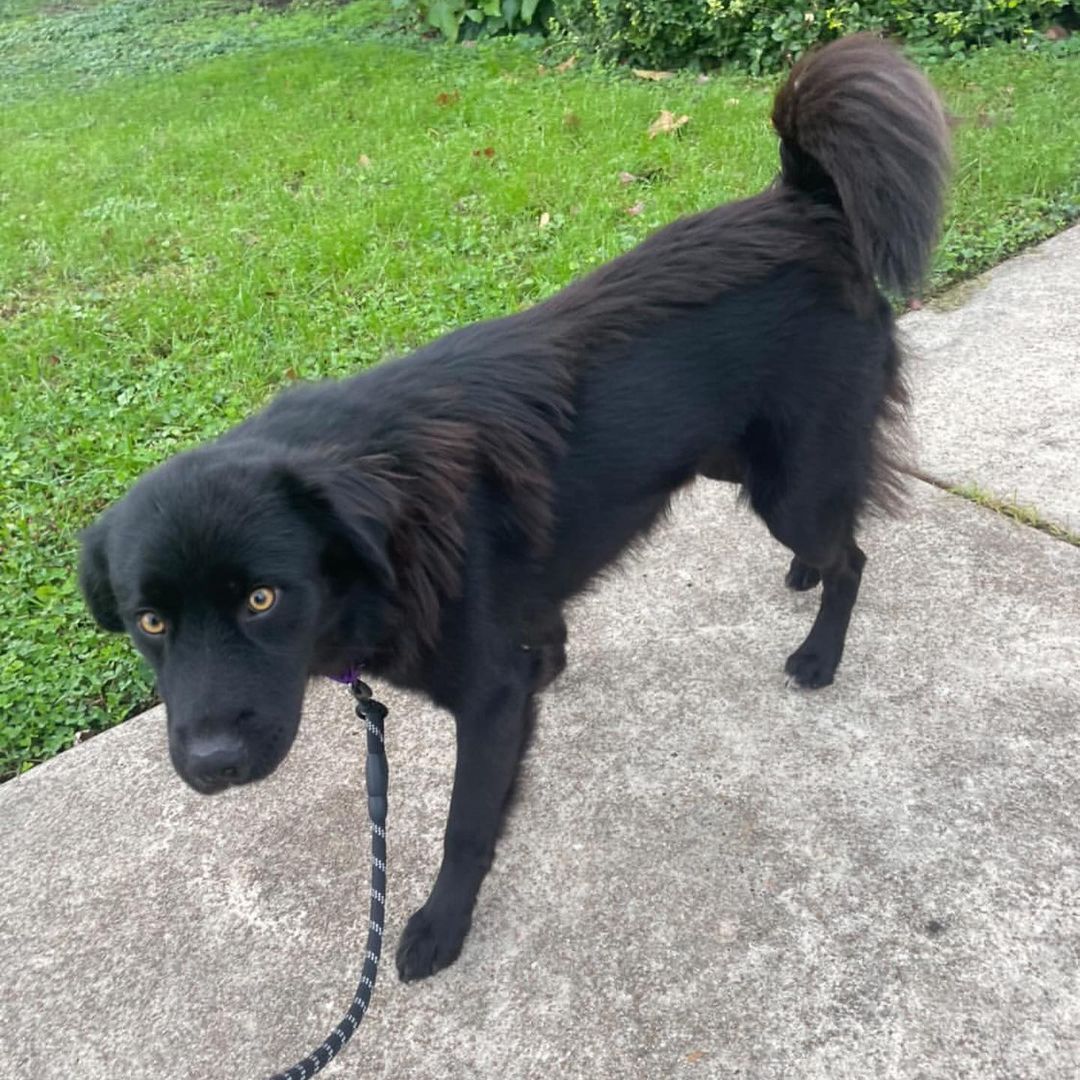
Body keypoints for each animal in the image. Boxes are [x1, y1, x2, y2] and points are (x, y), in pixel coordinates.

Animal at [79, 35, 950, 980]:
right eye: (150, 622)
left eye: (263, 599)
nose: (212, 766)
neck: (385, 527)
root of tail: (805, 203)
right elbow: (542, 632)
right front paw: (554, 657)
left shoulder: (488, 702)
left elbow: (466, 825)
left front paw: (438, 925)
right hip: (738, 459)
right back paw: (799, 575)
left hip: (789, 482)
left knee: (852, 554)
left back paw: (821, 650)